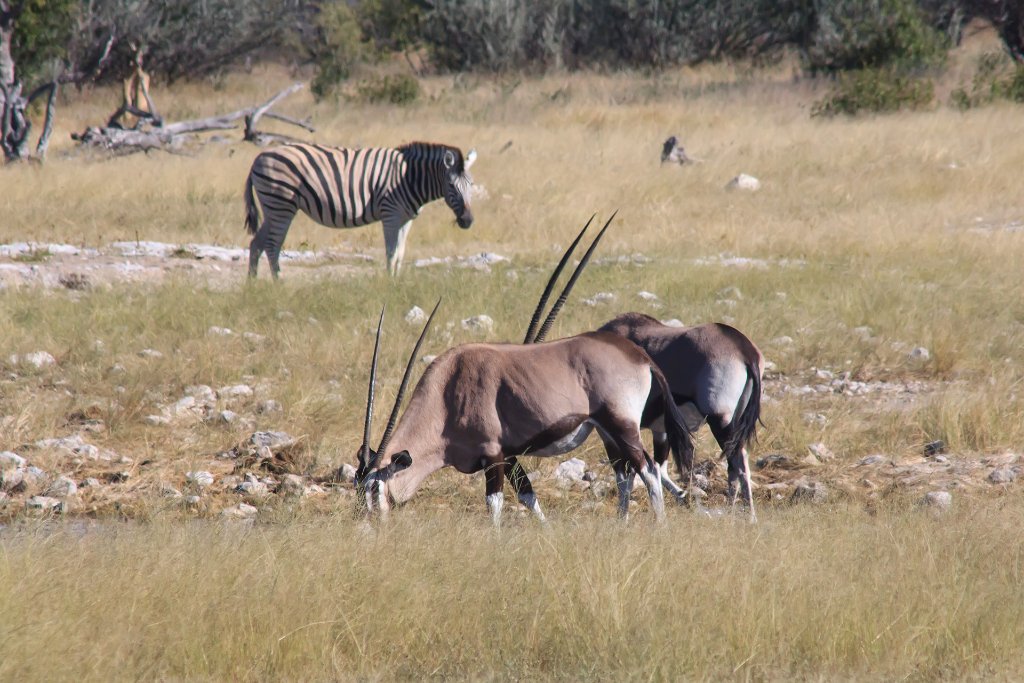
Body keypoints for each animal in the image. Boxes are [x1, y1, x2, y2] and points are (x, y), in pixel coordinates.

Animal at [243, 141, 475, 278]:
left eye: (471, 185)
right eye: (451, 186)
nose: (468, 221)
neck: (409, 177)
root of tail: (259, 157)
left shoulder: (406, 218)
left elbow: (400, 253)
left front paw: (396, 282)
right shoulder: (390, 214)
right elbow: (391, 252)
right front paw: (388, 285)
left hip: (272, 208)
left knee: (256, 244)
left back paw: (253, 287)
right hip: (281, 204)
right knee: (272, 246)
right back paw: (278, 285)